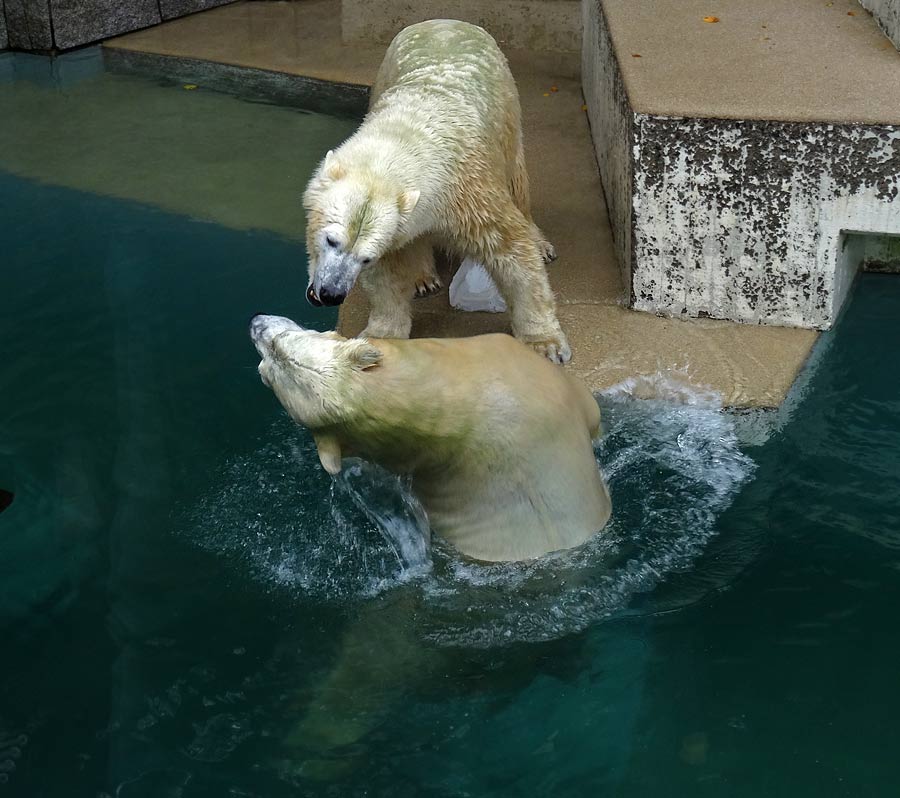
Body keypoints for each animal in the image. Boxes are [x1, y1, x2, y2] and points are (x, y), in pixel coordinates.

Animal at [302, 19, 568, 366]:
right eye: (331, 240)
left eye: (364, 257)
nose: (331, 294)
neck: (406, 132)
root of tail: (446, 21)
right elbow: (389, 271)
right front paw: (381, 335)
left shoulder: (470, 190)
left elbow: (512, 250)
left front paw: (545, 343)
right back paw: (422, 278)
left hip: (508, 107)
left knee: (518, 180)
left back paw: (541, 243)